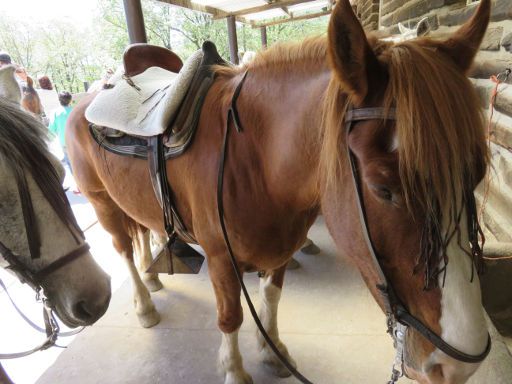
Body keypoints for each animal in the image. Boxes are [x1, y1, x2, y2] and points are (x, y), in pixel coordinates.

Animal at [67, 1, 492, 382]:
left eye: (477, 174)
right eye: (382, 188)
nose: (457, 365)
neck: (254, 158)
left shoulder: (279, 250)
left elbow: (270, 299)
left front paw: (273, 353)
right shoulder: (220, 257)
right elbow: (230, 316)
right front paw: (235, 370)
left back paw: (153, 274)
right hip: (102, 203)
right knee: (122, 247)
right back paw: (144, 302)